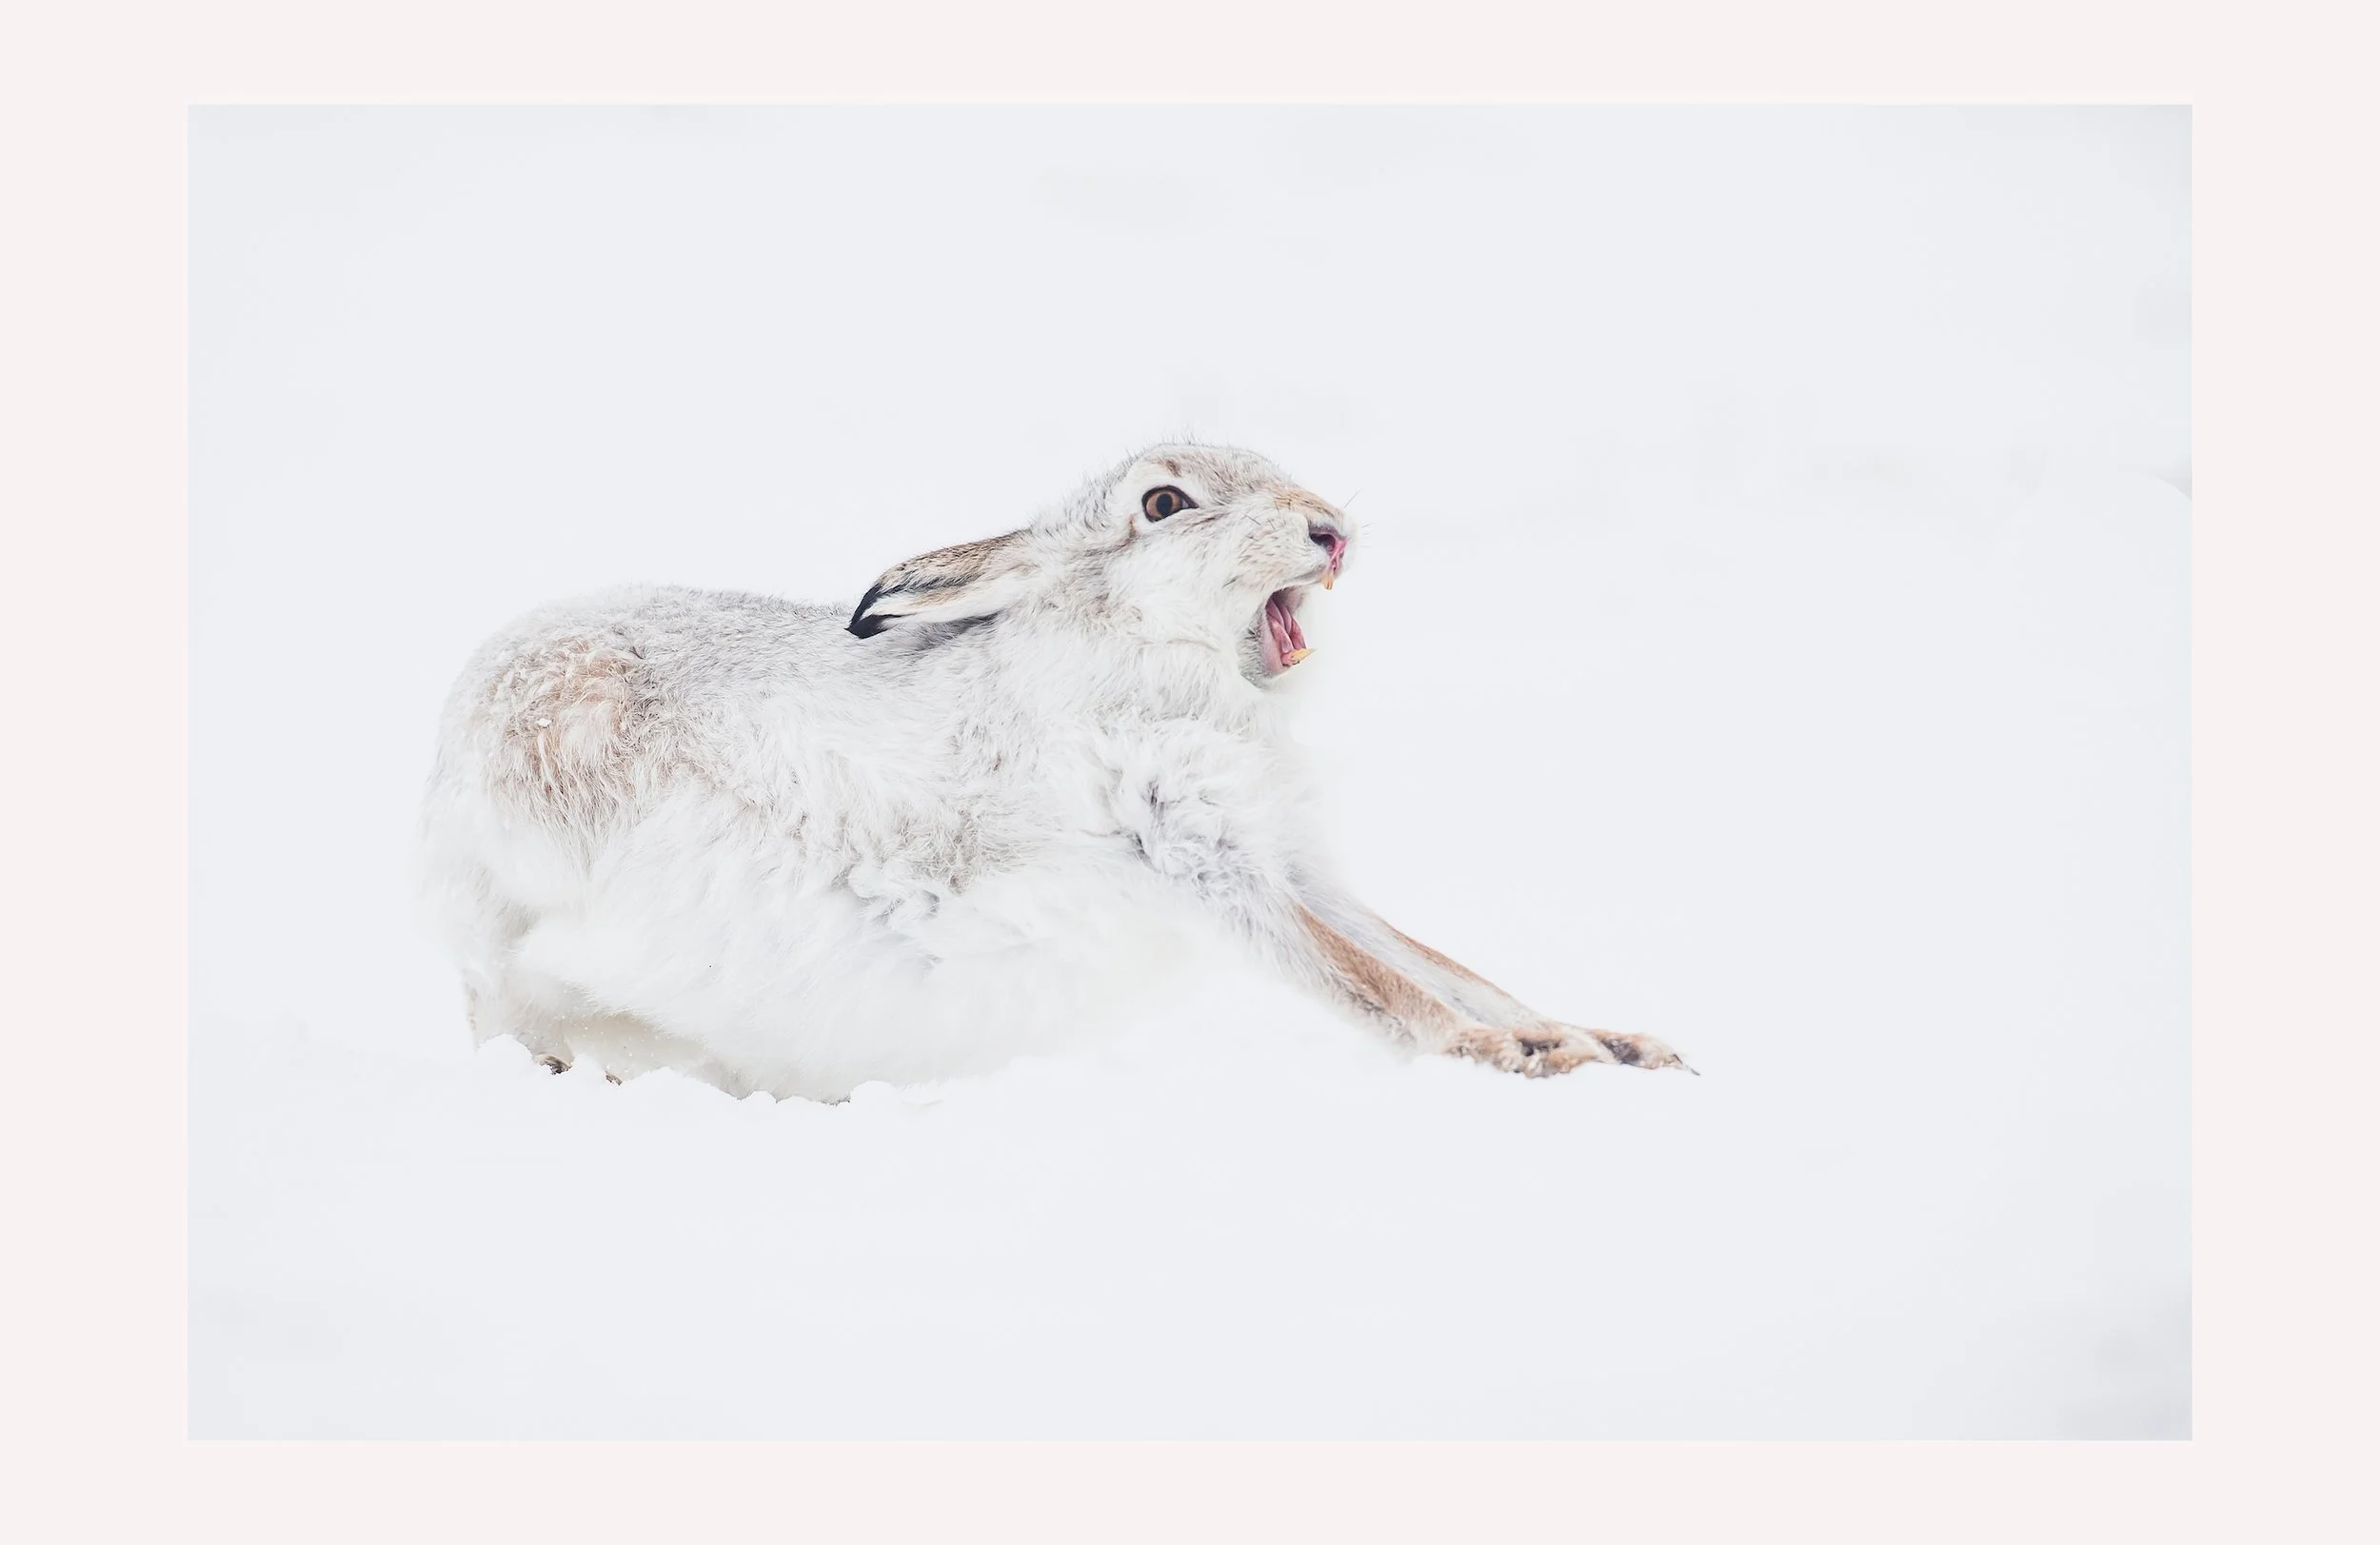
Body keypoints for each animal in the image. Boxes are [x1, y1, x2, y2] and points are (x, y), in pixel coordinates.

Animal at [417, 441, 1691, 1100]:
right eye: (1165, 504)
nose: (1329, 530)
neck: (1158, 663)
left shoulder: (1296, 863)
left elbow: (1432, 958)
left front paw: (1614, 1043)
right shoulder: (1190, 853)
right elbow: (1369, 982)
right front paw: (1514, 1058)